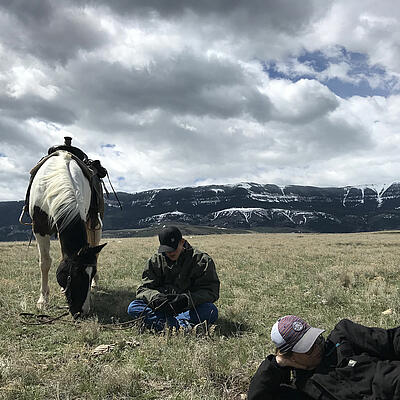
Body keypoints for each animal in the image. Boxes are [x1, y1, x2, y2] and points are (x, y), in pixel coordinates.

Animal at [28, 151, 106, 318]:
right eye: (75, 274)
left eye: (91, 273)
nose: (83, 311)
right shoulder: (40, 227)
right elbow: (45, 262)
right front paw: (43, 300)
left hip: (94, 225)